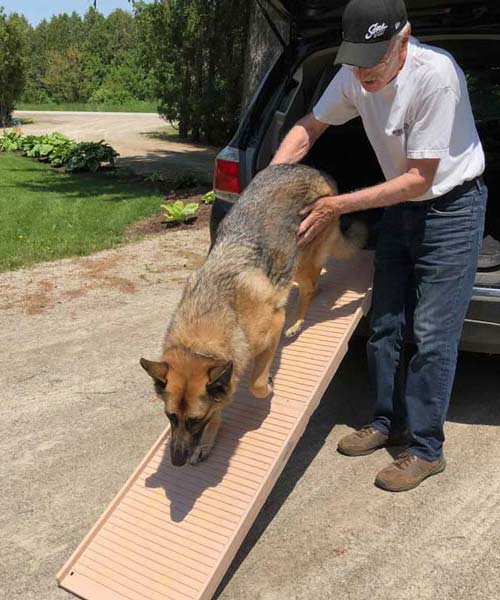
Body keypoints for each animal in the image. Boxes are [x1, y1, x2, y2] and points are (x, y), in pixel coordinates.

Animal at [139, 164, 366, 468]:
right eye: (171, 417)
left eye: (195, 420)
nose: (176, 461)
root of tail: (312, 170)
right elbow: (221, 404)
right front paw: (208, 442)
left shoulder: (271, 327)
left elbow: (255, 383)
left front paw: (268, 386)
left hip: (302, 260)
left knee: (310, 286)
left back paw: (298, 322)